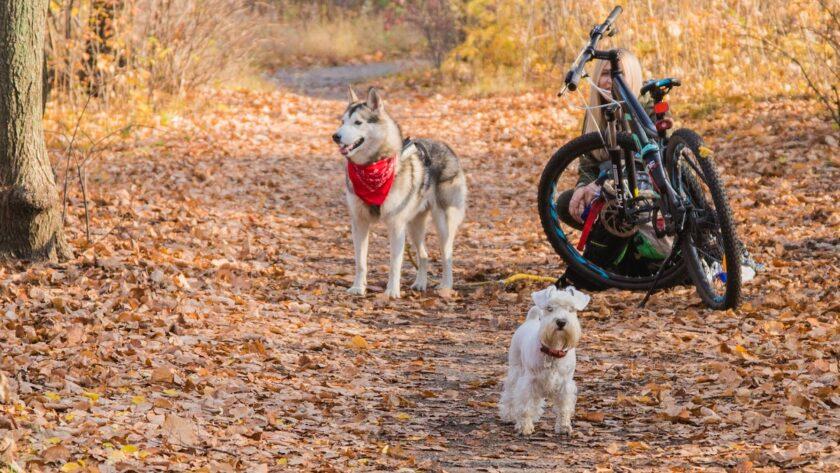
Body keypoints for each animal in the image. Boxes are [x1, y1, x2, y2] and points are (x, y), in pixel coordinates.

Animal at [334, 86, 466, 296]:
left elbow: (395, 263)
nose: (336, 136)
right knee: (424, 255)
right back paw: (420, 283)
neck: (373, 166)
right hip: (413, 227)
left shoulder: (396, 225)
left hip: (442, 225)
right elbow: (360, 262)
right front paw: (358, 287)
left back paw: (446, 286)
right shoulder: (359, 223)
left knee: (447, 256)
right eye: (342, 122)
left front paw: (392, 292)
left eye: (358, 122)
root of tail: (446, 147)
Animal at [502, 284, 588, 436]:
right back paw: (509, 416)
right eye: (549, 308)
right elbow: (525, 406)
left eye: (571, 309)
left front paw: (564, 426)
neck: (553, 350)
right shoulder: (529, 381)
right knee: (510, 394)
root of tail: (531, 319)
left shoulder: (565, 384)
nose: (561, 322)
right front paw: (524, 427)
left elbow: (564, 407)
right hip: (515, 370)